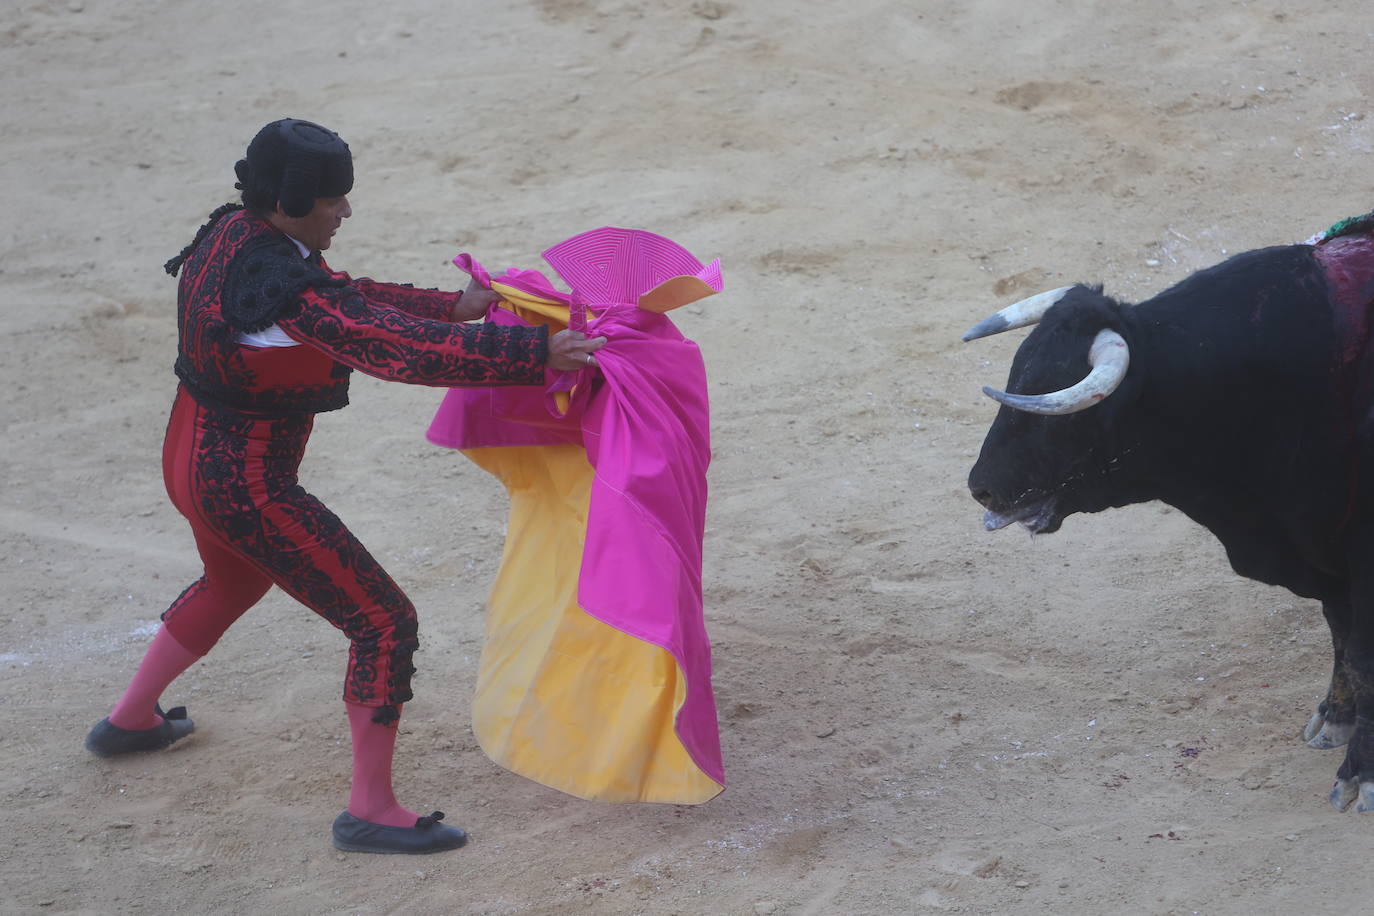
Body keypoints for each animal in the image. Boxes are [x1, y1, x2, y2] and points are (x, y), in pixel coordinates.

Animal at [961, 233, 1374, 813]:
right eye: (1017, 371)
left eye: (1059, 407)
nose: (981, 487)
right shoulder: (1319, 548)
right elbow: (1341, 635)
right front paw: (1335, 721)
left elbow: (1360, 651)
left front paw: (1361, 774)